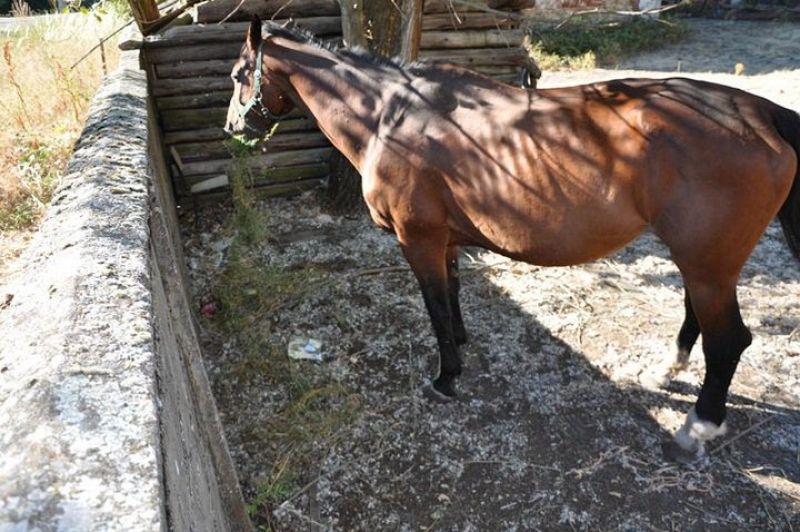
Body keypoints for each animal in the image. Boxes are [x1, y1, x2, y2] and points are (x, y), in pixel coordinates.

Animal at [223, 17, 800, 462]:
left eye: (237, 75)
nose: (233, 128)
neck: (393, 114)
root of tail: (759, 112)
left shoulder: (418, 240)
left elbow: (434, 303)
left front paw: (446, 378)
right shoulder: (445, 239)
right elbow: (452, 295)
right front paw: (460, 345)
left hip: (708, 263)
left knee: (729, 341)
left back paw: (693, 432)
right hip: (702, 261)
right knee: (698, 315)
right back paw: (669, 369)